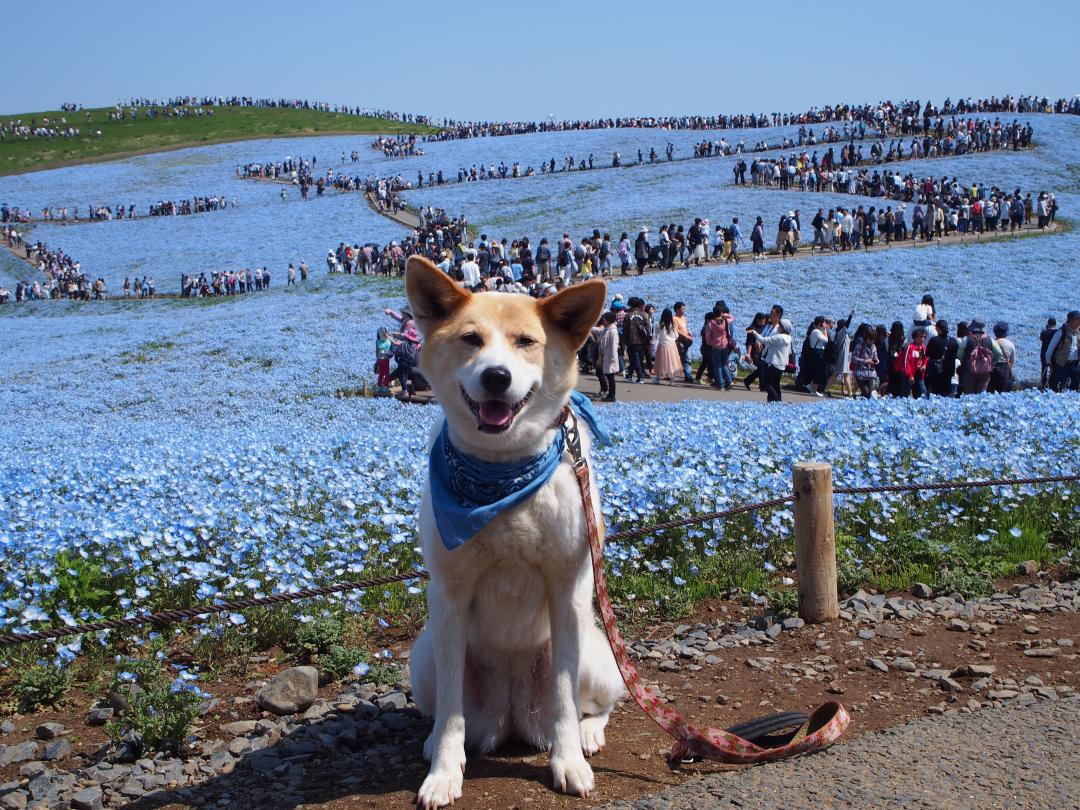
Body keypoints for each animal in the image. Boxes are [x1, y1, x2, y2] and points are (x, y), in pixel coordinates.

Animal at [403, 257, 626, 807]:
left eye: (526, 341)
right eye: (471, 339)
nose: (496, 376)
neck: (501, 472)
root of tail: (511, 717)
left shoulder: (567, 590)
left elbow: (565, 701)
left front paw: (568, 763)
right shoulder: (449, 596)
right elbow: (451, 715)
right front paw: (443, 773)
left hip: (596, 653)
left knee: (600, 702)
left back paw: (588, 734)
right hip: (424, 658)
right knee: (446, 712)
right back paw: (434, 741)